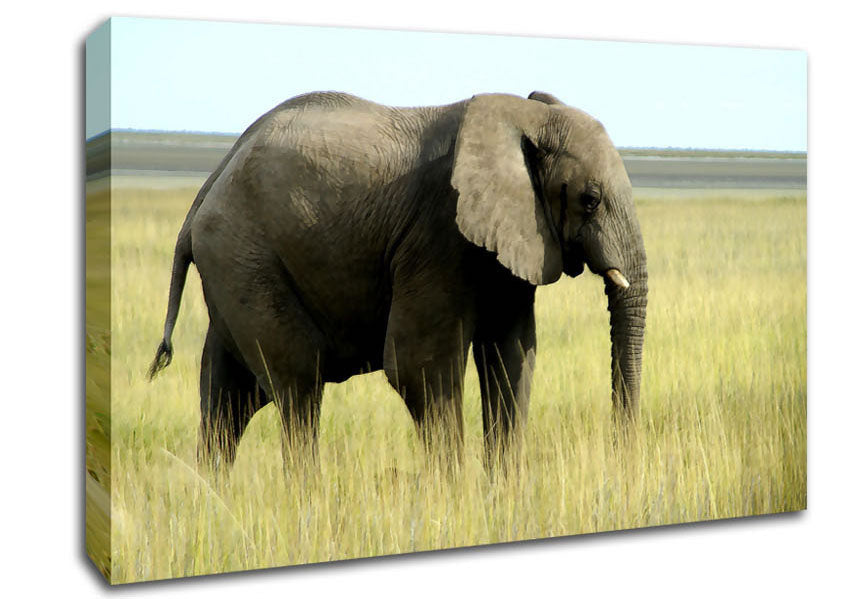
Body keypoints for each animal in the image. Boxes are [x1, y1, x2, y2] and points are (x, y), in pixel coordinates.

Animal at [149, 90, 648, 471]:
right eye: (589, 199)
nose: (620, 458)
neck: (522, 115)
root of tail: (208, 186)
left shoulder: (512, 239)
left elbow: (512, 357)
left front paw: (502, 497)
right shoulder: (438, 233)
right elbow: (420, 367)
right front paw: (455, 501)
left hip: (235, 268)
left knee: (228, 397)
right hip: (245, 259)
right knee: (297, 387)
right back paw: (305, 500)